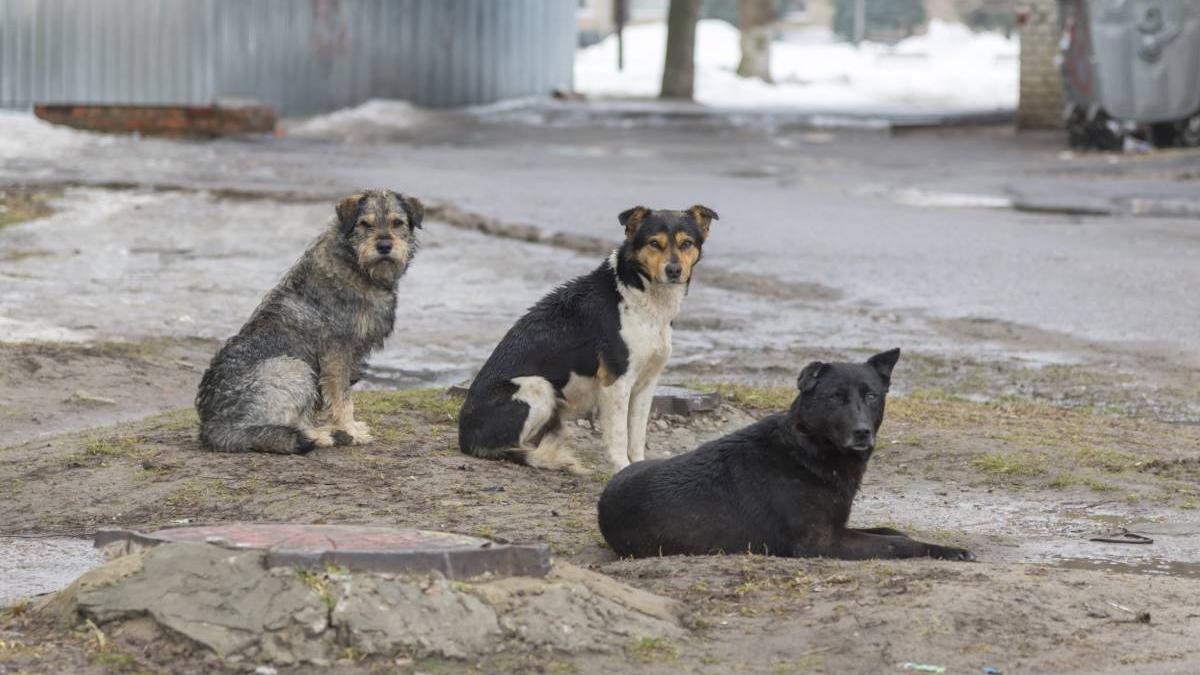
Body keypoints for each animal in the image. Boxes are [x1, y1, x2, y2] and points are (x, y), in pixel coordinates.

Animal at [194, 187, 424, 451]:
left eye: (398, 223)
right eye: (365, 224)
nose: (385, 246)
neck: (356, 265)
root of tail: (214, 426)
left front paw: (346, 427)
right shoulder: (337, 354)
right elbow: (342, 398)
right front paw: (351, 430)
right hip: (295, 368)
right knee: (272, 429)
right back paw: (320, 436)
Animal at [456, 205, 720, 473]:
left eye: (686, 243)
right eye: (654, 243)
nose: (674, 271)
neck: (639, 293)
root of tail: (465, 437)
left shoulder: (647, 382)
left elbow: (637, 435)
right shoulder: (616, 382)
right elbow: (619, 436)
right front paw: (622, 468)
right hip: (537, 386)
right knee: (512, 447)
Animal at [595, 345, 979, 557]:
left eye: (871, 396)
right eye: (835, 397)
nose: (862, 432)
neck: (807, 449)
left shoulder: (839, 527)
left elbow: (890, 531)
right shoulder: (822, 543)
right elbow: (898, 544)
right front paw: (950, 551)